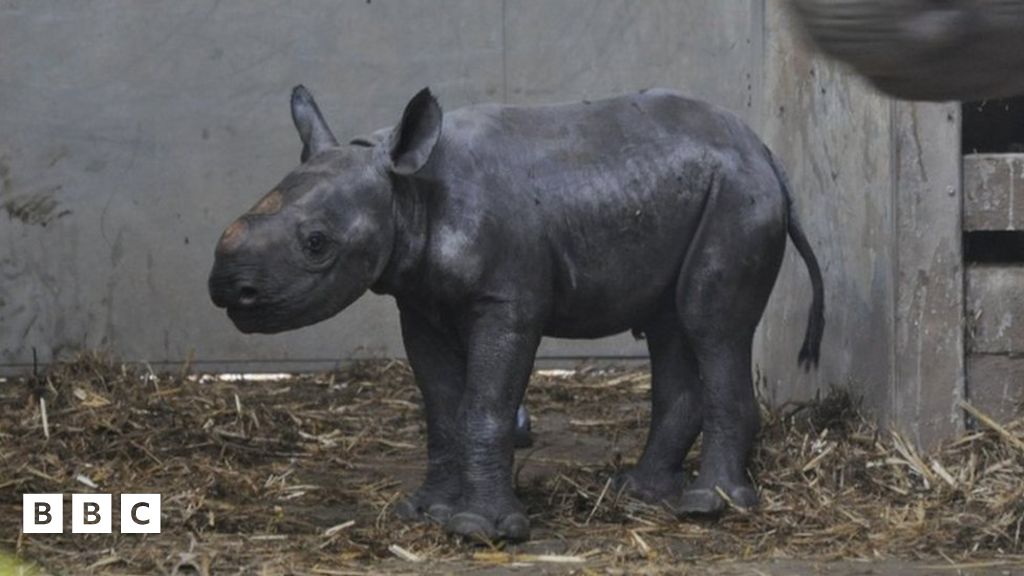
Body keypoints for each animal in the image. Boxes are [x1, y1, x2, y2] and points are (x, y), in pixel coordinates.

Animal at [207, 84, 823, 537]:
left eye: (316, 244)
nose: (228, 289)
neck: (405, 189)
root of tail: (766, 153)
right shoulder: (419, 302)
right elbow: (442, 408)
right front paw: (424, 511)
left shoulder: (507, 302)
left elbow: (484, 405)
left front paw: (480, 529)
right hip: (695, 190)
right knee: (670, 326)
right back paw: (639, 493)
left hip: (738, 196)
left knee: (709, 324)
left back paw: (708, 506)